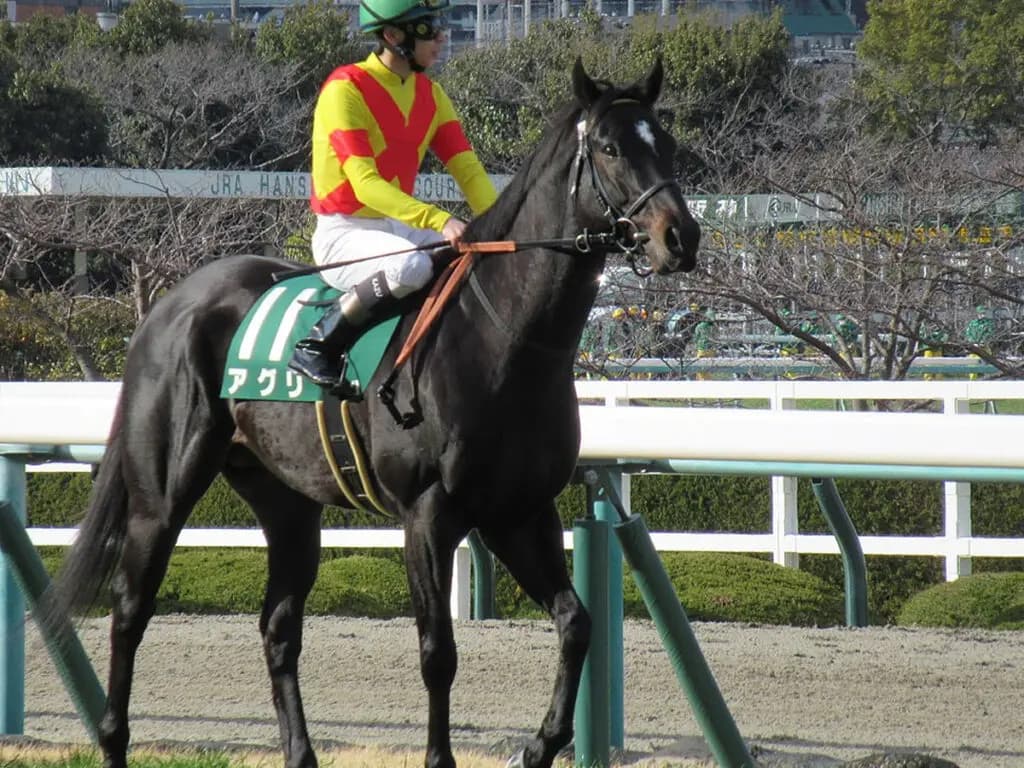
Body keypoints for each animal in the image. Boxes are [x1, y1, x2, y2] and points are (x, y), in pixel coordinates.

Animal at [41, 58, 700, 768]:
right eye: (609, 147)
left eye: (666, 143)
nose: (680, 236)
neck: (504, 338)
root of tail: (167, 305)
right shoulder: (428, 513)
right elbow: (438, 652)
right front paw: (441, 757)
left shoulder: (519, 511)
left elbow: (577, 624)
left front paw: (540, 746)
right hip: (160, 495)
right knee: (131, 608)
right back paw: (113, 739)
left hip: (286, 500)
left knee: (278, 625)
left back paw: (300, 753)